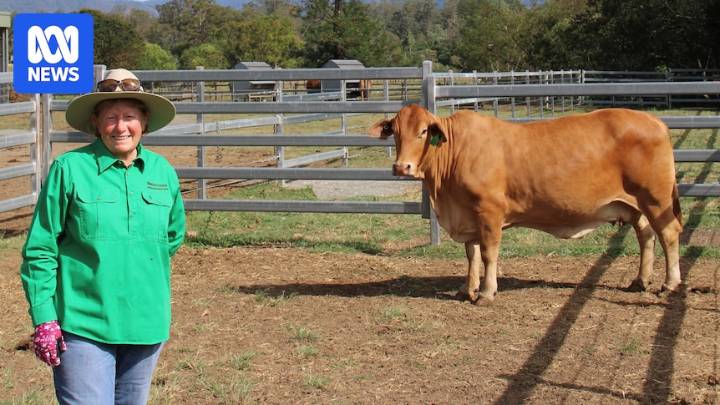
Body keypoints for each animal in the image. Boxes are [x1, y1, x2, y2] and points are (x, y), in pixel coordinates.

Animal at [369, 105, 683, 305]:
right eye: (395, 131)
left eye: (423, 132)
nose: (402, 166)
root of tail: (655, 121)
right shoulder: (467, 215)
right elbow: (471, 255)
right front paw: (466, 289)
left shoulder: (489, 212)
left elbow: (488, 254)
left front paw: (486, 293)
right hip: (635, 205)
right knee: (646, 235)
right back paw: (640, 280)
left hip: (656, 199)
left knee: (668, 234)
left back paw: (670, 284)